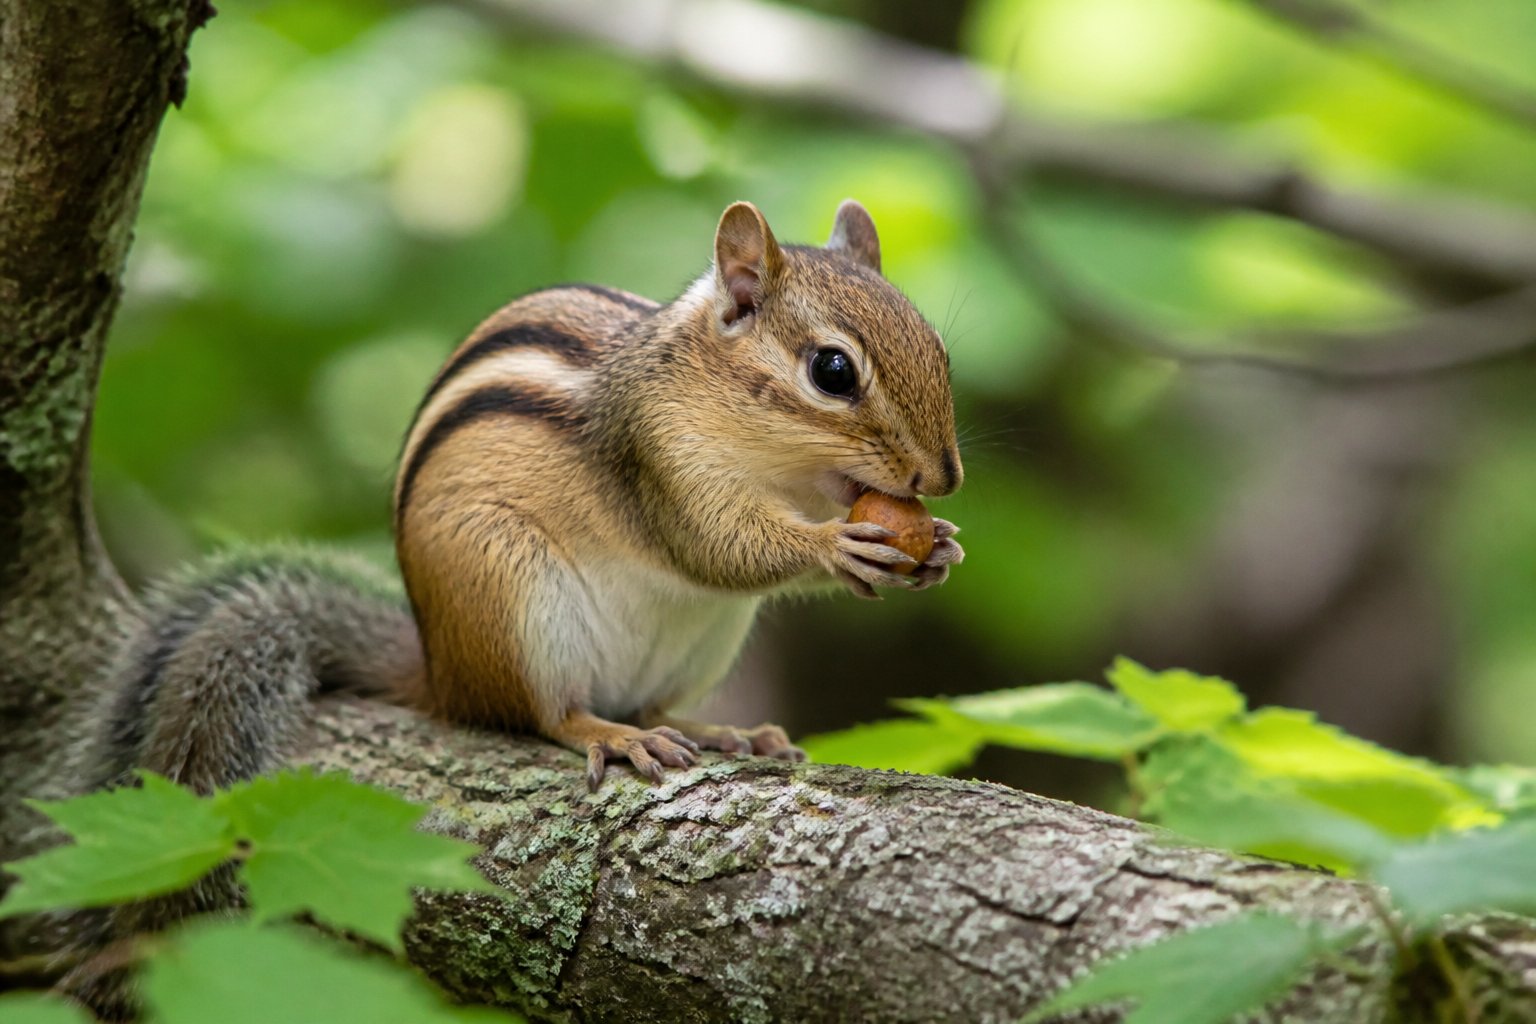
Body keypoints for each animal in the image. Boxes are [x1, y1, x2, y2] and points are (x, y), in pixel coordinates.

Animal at [85, 199, 963, 796]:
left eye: (941, 351)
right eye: (833, 371)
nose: (943, 478)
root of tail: (440, 672)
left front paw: (939, 547)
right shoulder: (657, 458)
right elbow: (717, 546)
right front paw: (837, 546)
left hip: (707, 639)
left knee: (654, 703)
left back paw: (717, 729)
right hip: (509, 592)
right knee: (543, 715)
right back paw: (614, 734)